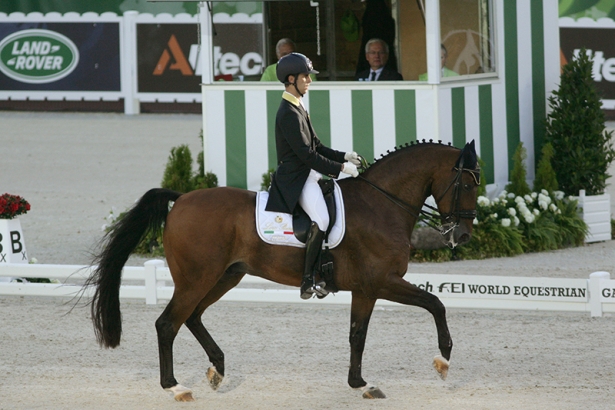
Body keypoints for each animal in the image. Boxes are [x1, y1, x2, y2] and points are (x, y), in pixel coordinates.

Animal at [85, 139, 482, 398]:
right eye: (465, 182)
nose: (462, 235)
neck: (382, 204)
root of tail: (180, 199)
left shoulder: (365, 289)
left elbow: (357, 335)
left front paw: (360, 384)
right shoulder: (382, 282)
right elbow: (435, 304)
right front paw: (442, 360)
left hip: (225, 276)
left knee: (192, 317)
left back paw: (217, 369)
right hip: (197, 278)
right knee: (168, 323)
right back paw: (176, 387)